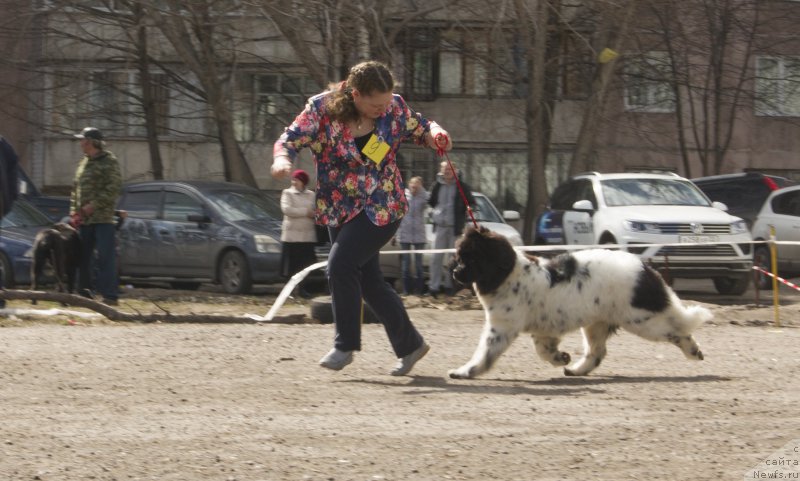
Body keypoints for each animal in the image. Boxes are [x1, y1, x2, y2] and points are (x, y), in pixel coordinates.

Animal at [450, 226, 712, 378]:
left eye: (469, 258)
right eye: (460, 256)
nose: (455, 272)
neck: (507, 273)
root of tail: (646, 269)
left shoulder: (501, 327)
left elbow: (485, 352)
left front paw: (465, 371)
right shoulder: (543, 329)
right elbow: (543, 350)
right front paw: (561, 358)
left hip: (641, 320)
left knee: (678, 331)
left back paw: (694, 351)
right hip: (597, 323)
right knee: (597, 352)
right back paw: (576, 369)